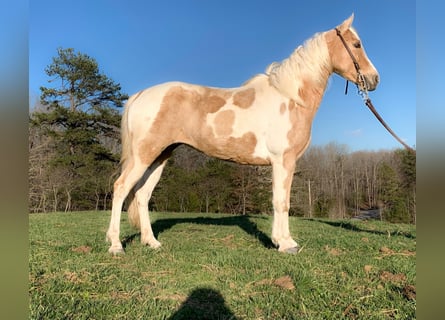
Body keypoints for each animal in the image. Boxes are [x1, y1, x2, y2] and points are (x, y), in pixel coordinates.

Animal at [106, 14, 378, 255]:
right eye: (357, 44)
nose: (374, 79)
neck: (289, 97)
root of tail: (140, 95)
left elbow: (280, 201)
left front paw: (282, 240)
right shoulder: (283, 161)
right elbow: (282, 202)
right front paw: (285, 244)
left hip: (159, 156)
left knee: (142, 195)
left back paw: (151, 242)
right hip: (143, 156)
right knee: (120, 188)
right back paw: (116, 245)